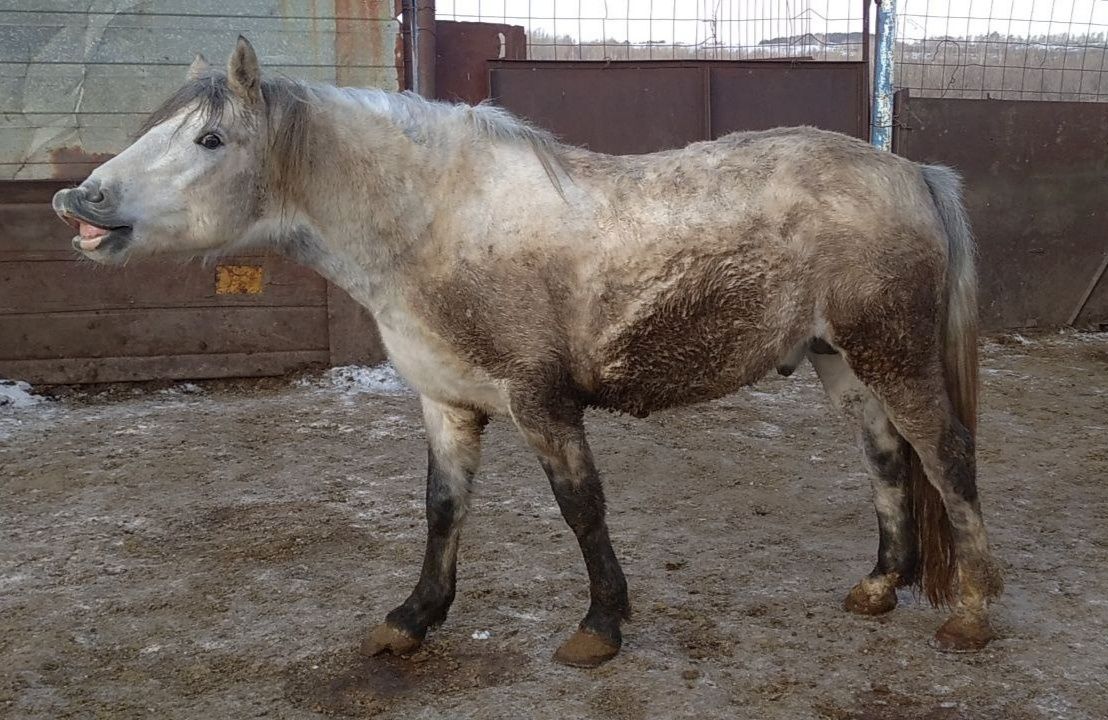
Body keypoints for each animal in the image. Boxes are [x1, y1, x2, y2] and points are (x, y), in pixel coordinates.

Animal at [52, 37, 1006, 669]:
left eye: (209, 140)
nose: (79, 201)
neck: (435, 223)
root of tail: (911, 172)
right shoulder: (446, 403)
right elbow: (442, 510)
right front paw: (413, 617)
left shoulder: (542, 402)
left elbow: (581, 509)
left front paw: (600, 627)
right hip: (842, 361)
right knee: (888, 459)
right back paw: (880, 586)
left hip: (894, 357)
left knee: (947, 456)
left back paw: (971, 612)